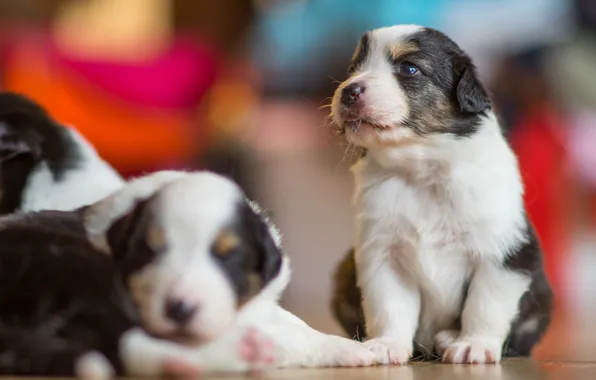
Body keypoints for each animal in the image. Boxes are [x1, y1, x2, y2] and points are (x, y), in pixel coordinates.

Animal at [328, 24, 552, 366]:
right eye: (354, 68)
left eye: (409, 68)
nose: (348, 91)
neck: (423, 171)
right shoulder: (382, 252)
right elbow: (389, 305)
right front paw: (387, 345)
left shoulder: (502, 252)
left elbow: (484, 305)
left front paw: (474, 345)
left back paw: (449, 338)